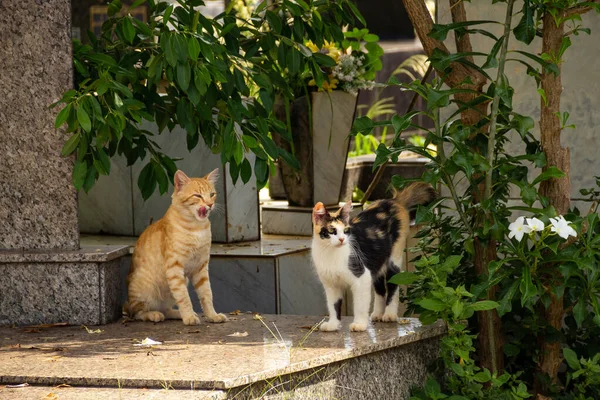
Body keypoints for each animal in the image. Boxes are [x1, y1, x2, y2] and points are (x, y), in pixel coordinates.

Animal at [122, 169, 227, 324]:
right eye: (197, 195)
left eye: (212, 194)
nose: (209, 204)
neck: (197, 228)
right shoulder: (174, 268)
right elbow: (184, 297)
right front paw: (189, 317)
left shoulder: (201, 266)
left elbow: (206, 294)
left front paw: (212, 315)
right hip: (144, 287)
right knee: (137, 312)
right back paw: (153, 314)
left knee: (165, 309)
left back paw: (177, 313)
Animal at [310, 182, 436, 332]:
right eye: (331, 230)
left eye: (346, 230)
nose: (342, 239)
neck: (330, 253)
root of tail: (393, 201)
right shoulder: (331, 285)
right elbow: (333, 306)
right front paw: (333, 324)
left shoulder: (361, 276)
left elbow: (360, 305)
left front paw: (359, 324)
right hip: (376, 262)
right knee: (380, 288)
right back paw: (377, 314)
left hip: (393, 258)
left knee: (393, 285)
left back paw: (389, 314)